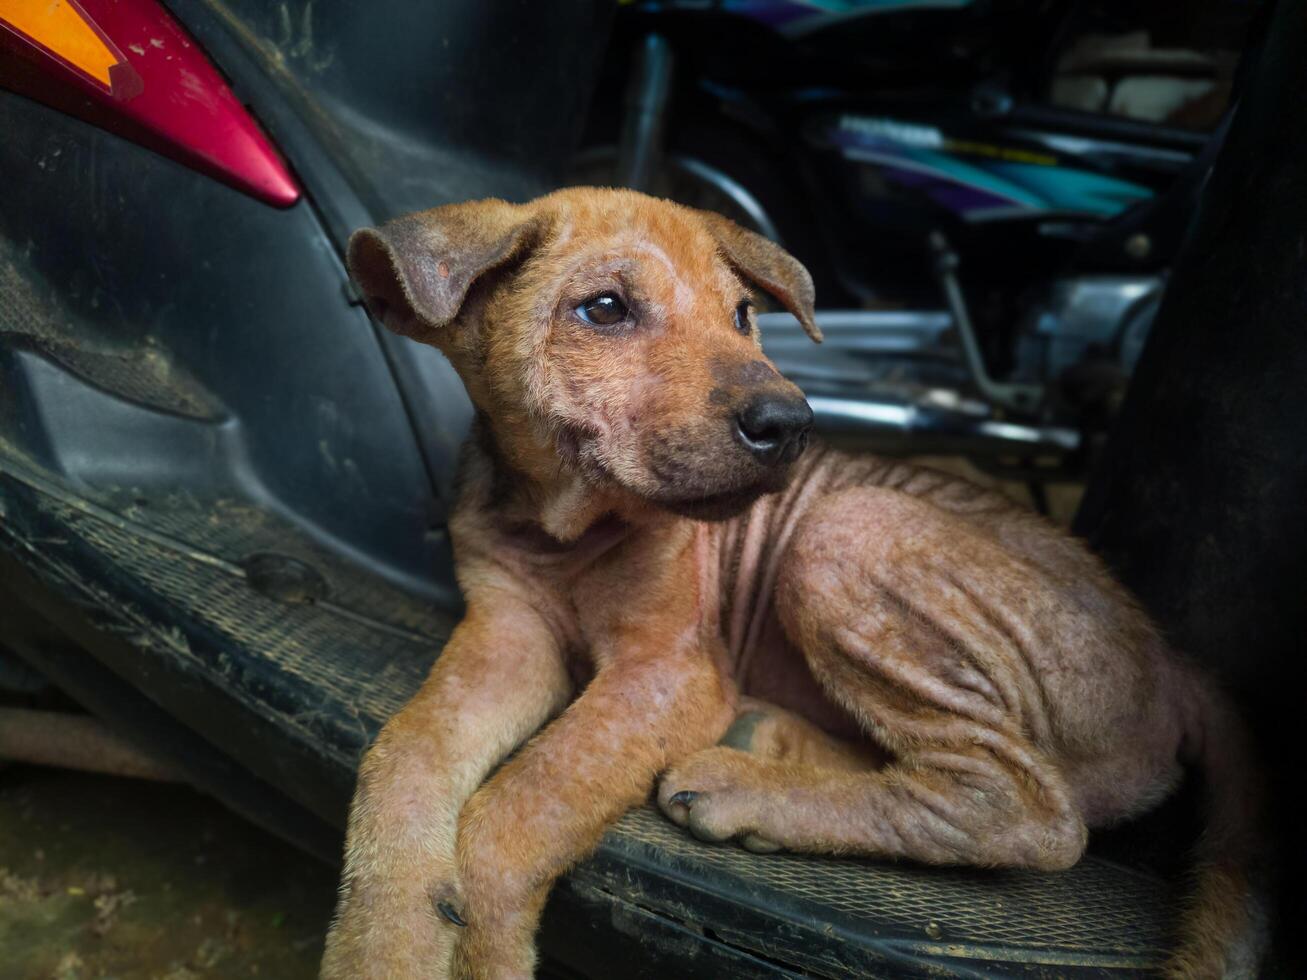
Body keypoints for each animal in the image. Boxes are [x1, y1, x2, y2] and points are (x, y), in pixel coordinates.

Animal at [318, 188, 1265, 977]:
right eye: (605, 308)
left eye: (744, 316)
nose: (790, 423)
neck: (562, 529)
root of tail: (1174, 668)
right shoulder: (507, 634)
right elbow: (405, 752)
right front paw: (385, 943)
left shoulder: (669, 673)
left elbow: (525, 801)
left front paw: (478, 939)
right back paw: (766, 739)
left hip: (847, 529)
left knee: (1027, 808)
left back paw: (745, 791)